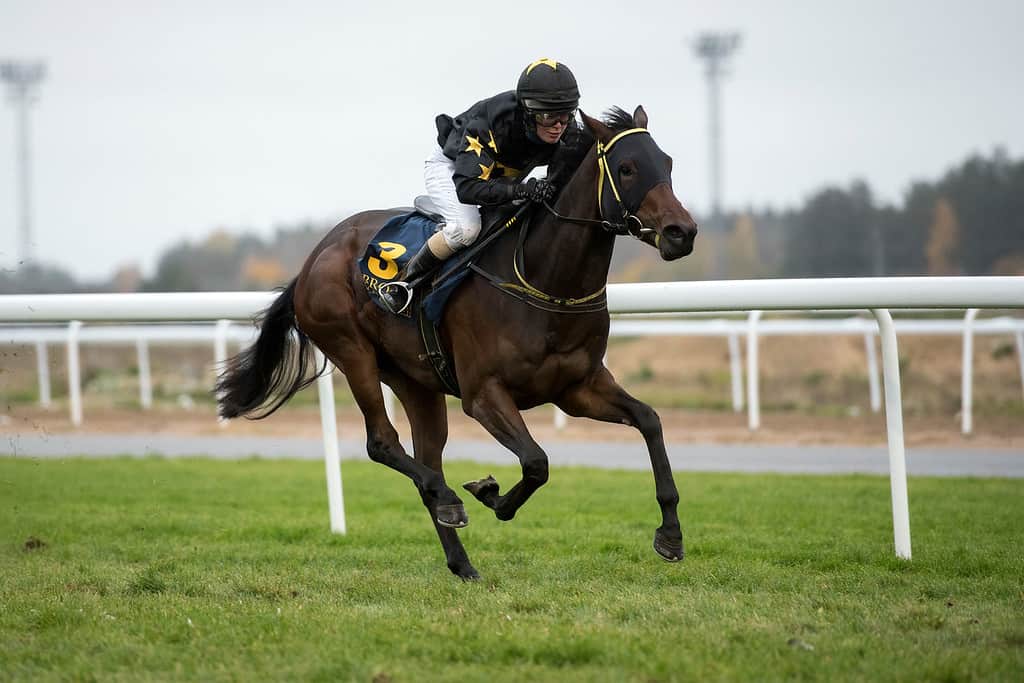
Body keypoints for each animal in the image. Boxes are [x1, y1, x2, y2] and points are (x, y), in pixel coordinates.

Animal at [215, 104, 696, 581]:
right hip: (353, 353)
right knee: (383, 443)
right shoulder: (483, 394)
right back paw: (450, 501)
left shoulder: (578, 388)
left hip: (416, 382)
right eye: (627, 168)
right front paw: (489, 494)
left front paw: (671, 535)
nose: (682, 232)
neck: (545, 281)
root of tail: (313, 258)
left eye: (668, 163)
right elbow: (536, 462)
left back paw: (461, 561)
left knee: (426, 460)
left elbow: (649, 420)